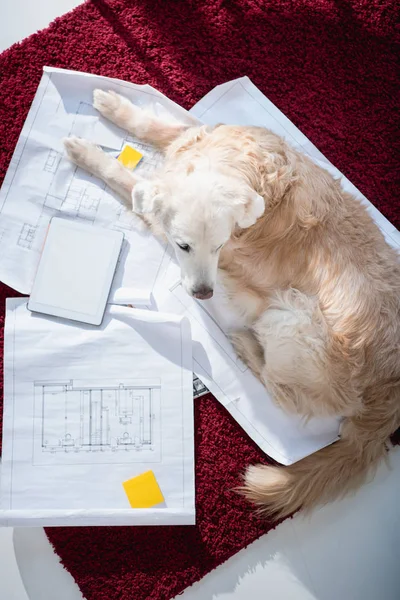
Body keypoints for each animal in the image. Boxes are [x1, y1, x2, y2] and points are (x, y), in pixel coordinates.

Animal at [63, 89, 400, 516]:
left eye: (220, 246)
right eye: (185, 246)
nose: (204, 294)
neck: (242, 171)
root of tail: (390, 392)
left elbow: (129, 179)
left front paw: (86, 154)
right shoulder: (199, 138)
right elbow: (167, 126)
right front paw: (115, 105)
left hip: (292, 317)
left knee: (283, 391)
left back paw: (244, 346)